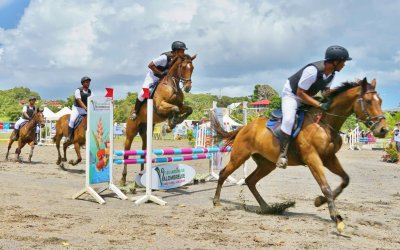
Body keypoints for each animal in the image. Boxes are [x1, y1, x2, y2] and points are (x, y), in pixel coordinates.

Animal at [122, 53, 197, 185]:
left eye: (192, 68)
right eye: (183, 67)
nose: (188, 87)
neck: (172, 84)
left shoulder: (181, 105)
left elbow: (188, 109)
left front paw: (174, 122)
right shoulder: (160, 106)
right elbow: (175, 109)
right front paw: (170, 124)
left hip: (146, 131)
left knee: (143, 150)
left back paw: (141, 175)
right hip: (131, 133)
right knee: (126, 152)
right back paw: (123, 179)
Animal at [212, 78, 388, 232]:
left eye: (380, 101)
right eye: (369, 101)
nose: (383, 129)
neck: (325, 124)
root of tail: (244, 127)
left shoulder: (329, 158)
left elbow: (345, 180)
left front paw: (319, 201)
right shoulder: (312, 159)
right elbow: (326, 187)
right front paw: (336, 219)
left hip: (267, 164)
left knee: (250, 180)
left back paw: (266, 207)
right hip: (240, 156)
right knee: (223, 174)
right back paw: (216, 202)